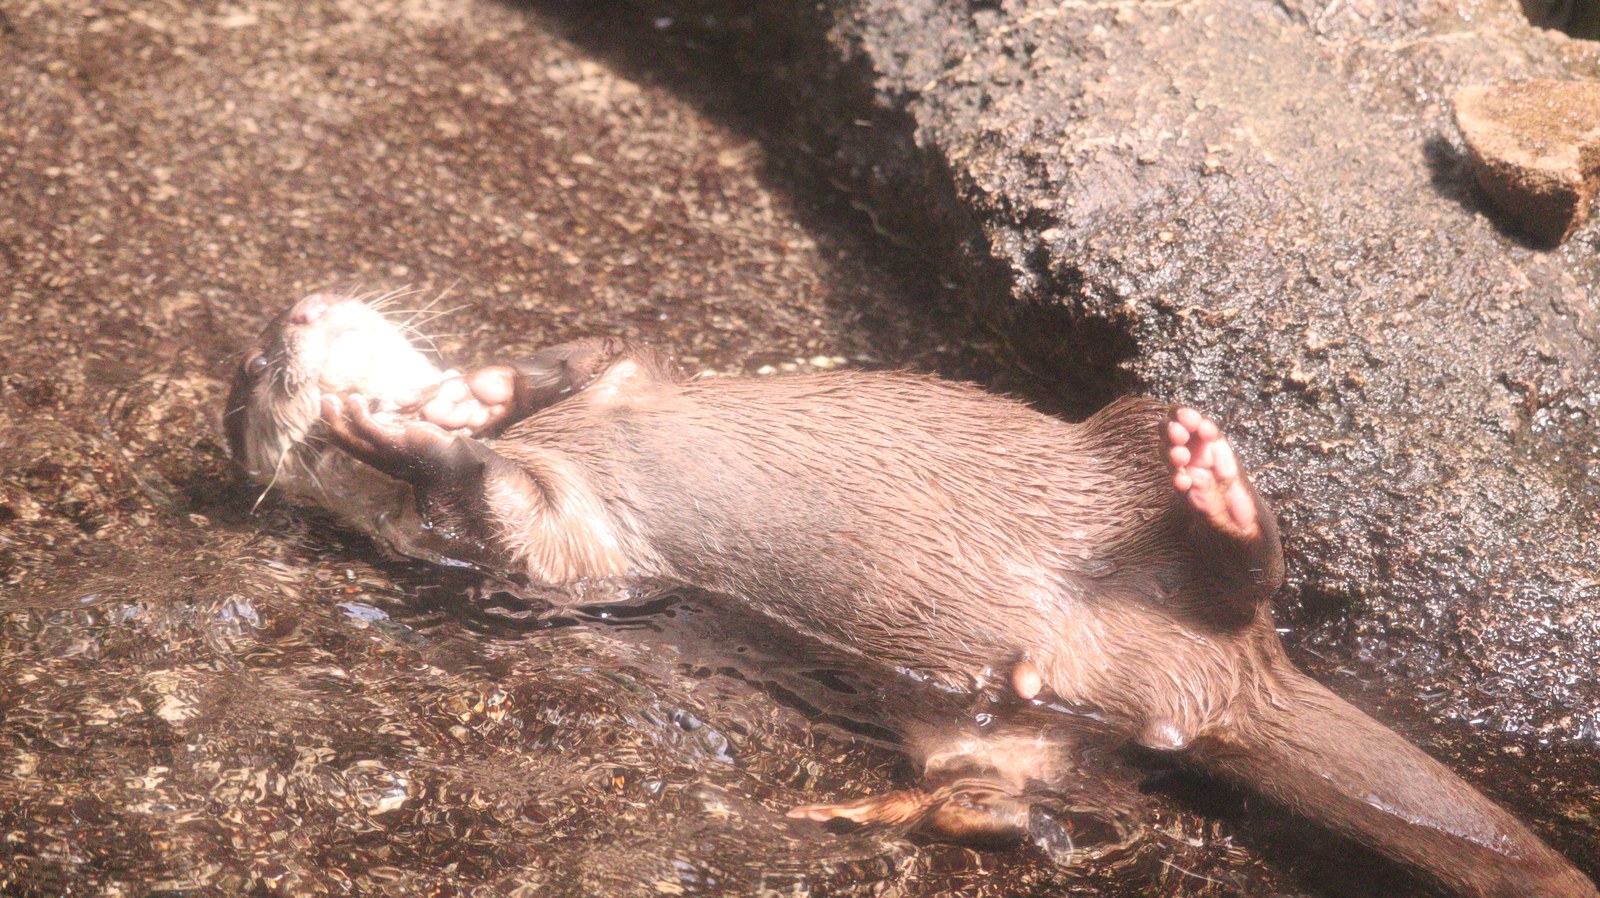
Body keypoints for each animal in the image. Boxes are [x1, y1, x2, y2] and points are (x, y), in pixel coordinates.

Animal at [227, 293, 1595, 898]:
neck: (562, 444)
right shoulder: (566, 557)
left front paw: (460, 396)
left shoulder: (627, 386)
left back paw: (1211, 482)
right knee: (991, 783)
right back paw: (895, 813)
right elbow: (496, 512)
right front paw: (393, 438)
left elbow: (593, 353)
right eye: (251, 382)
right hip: (1005, 717)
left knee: (1222, 554)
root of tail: (1216, 682)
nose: (287, 319)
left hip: (1108, 463)